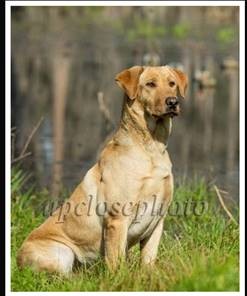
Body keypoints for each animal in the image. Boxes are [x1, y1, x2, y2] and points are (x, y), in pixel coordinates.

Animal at [16, 66, 187, 274]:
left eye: (172, 83)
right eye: (150, 84)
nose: (173, 102)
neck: (151, 149)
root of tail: (17, 260)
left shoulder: (157, 221)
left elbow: (148, 259)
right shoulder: (117, 219)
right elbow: (116, 262)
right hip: (62, 252)